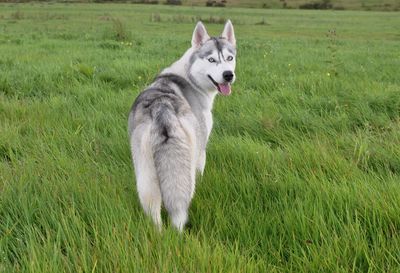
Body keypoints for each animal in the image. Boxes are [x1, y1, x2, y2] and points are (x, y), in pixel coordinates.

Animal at [128, 20, 236, 231]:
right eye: (211, 60)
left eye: (230, 58)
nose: (228, 75)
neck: (190, 77)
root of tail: (162, 108)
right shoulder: (200, 150)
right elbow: (201, 169)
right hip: (184, 170)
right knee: (179, 206)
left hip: (145, 173)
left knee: (153, 208)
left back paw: (159, 233)